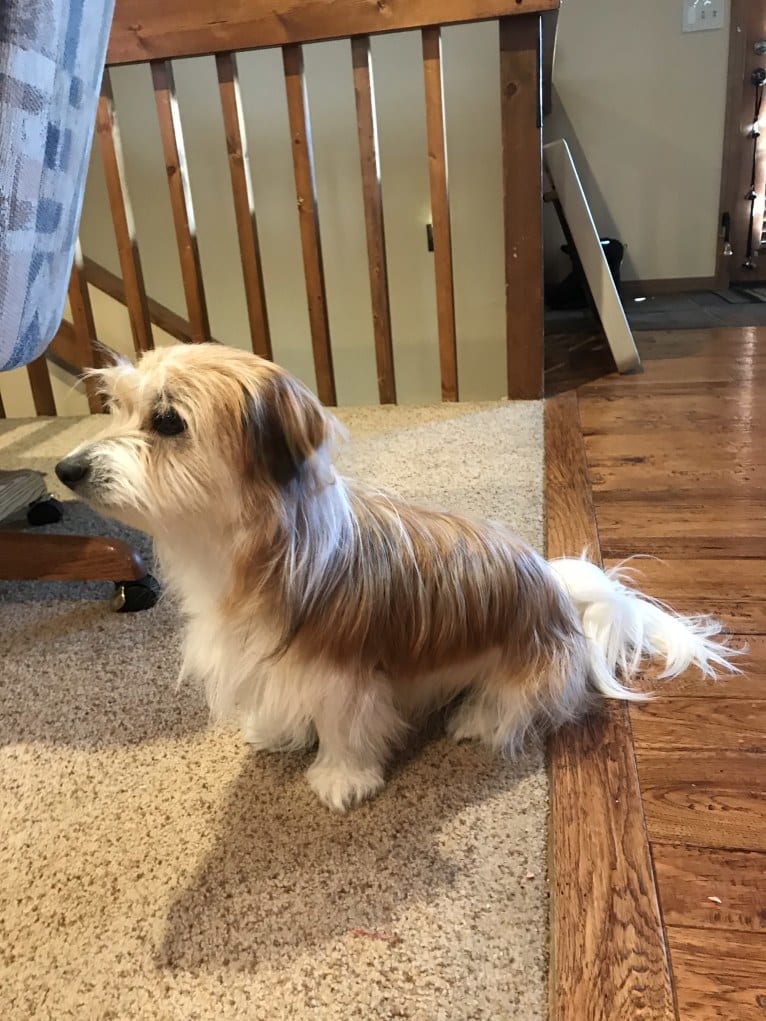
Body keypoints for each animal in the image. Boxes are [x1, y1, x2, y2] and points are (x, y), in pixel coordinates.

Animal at [54, 347, 739, 808]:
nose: (64, 469)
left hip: (528, 669)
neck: (248, 549)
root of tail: (559, 589)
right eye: (116, 406)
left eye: (168, 421)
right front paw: (277, 732)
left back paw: (480, 719)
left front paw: (342, 778)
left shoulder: (343, 676)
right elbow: (282, 702)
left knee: (522, 708)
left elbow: (344, 729)